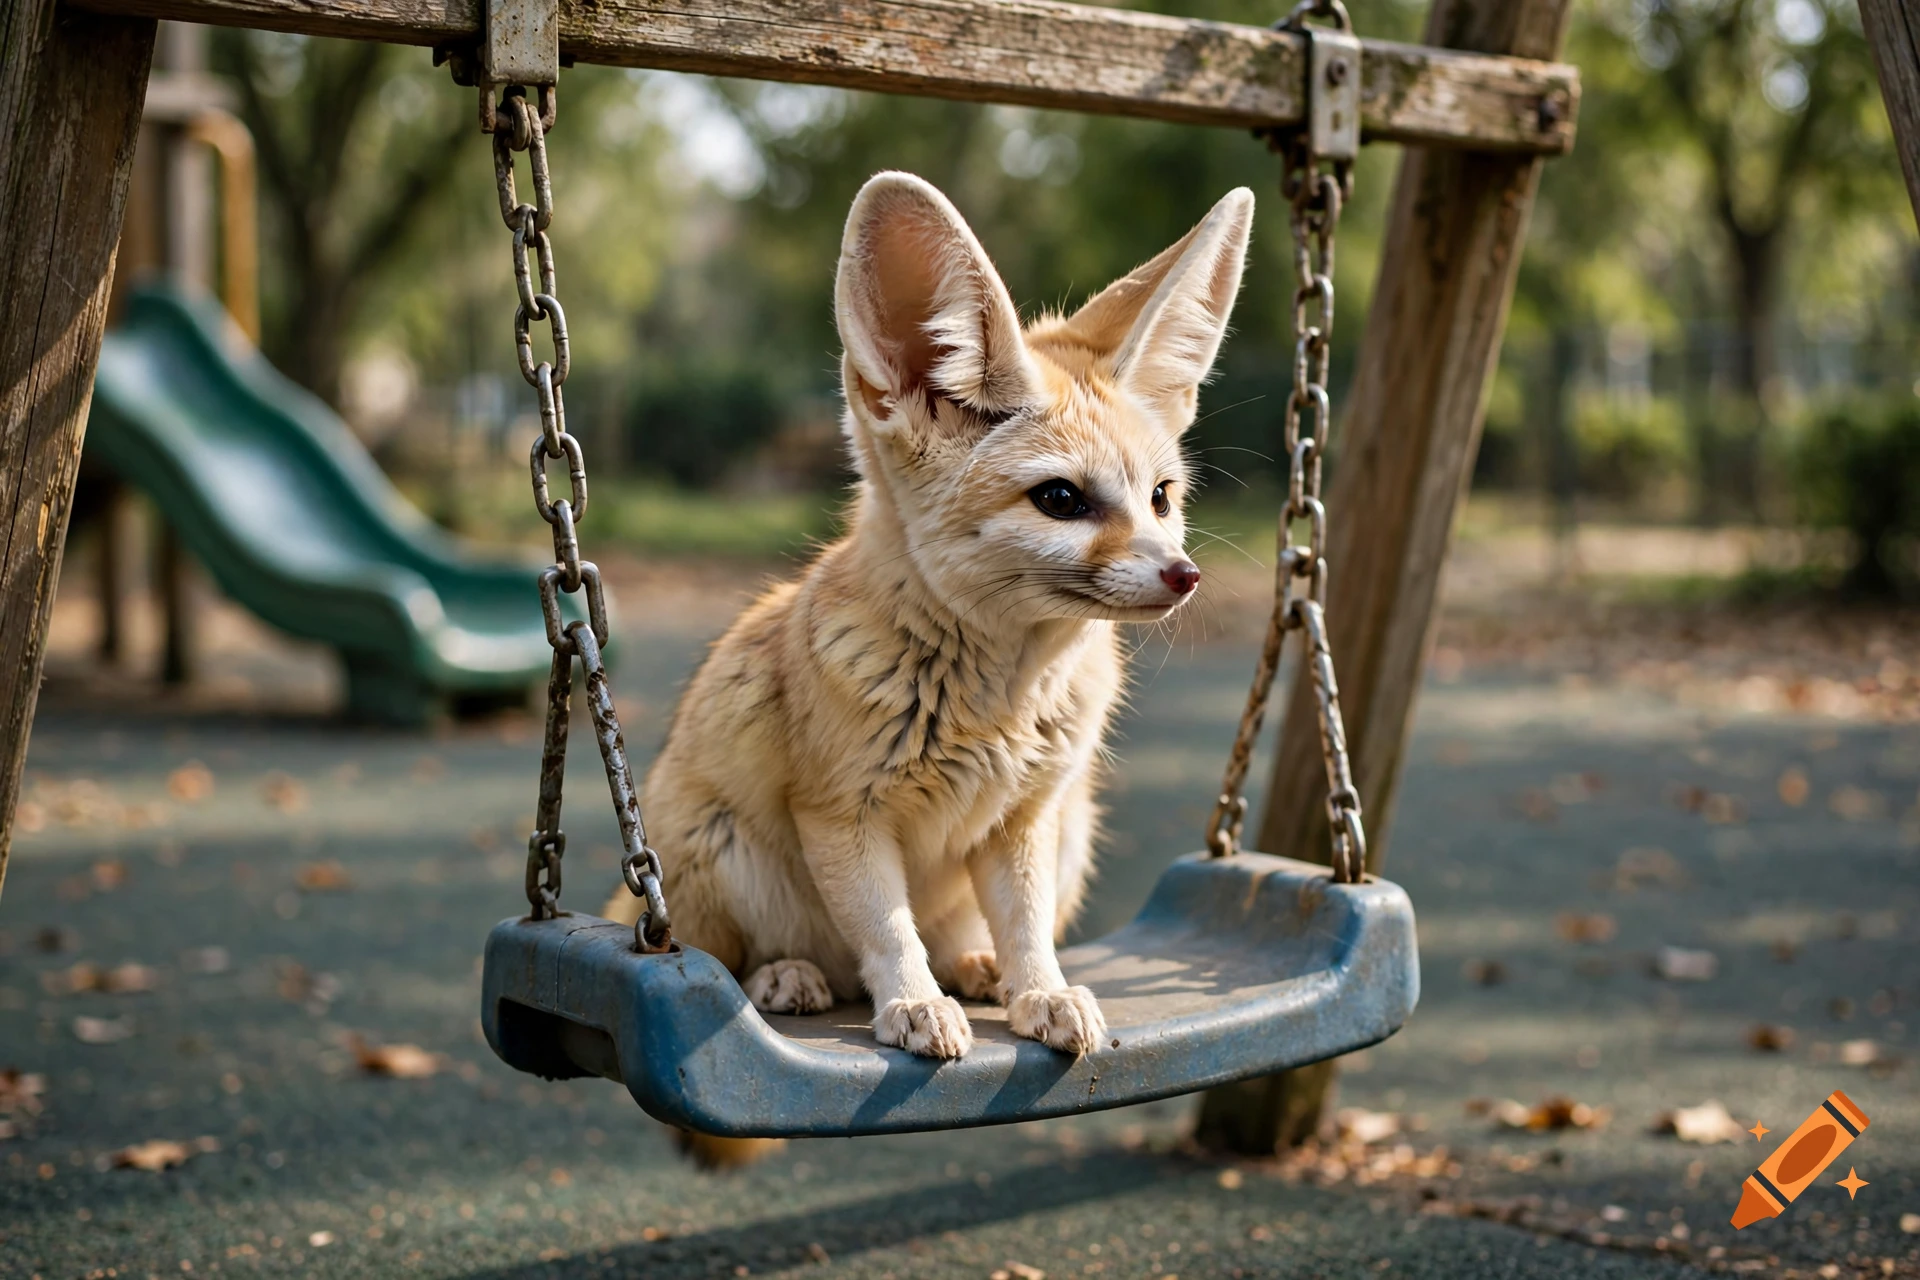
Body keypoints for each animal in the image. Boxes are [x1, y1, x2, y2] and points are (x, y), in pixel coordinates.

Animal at [601, 171, 1252, 1081]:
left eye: (1161, 497)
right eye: (1060, 499)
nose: (1184, 576)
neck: (996, 706)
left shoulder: (1023, 821)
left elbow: (1025, 929)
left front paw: (1039, 992)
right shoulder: (842, 818)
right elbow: (887, 931)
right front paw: (911, 1005)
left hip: (1074, 826)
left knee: (960, 939)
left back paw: (976, 969)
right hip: (717, 852)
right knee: (746, 957)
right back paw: (789, 976)